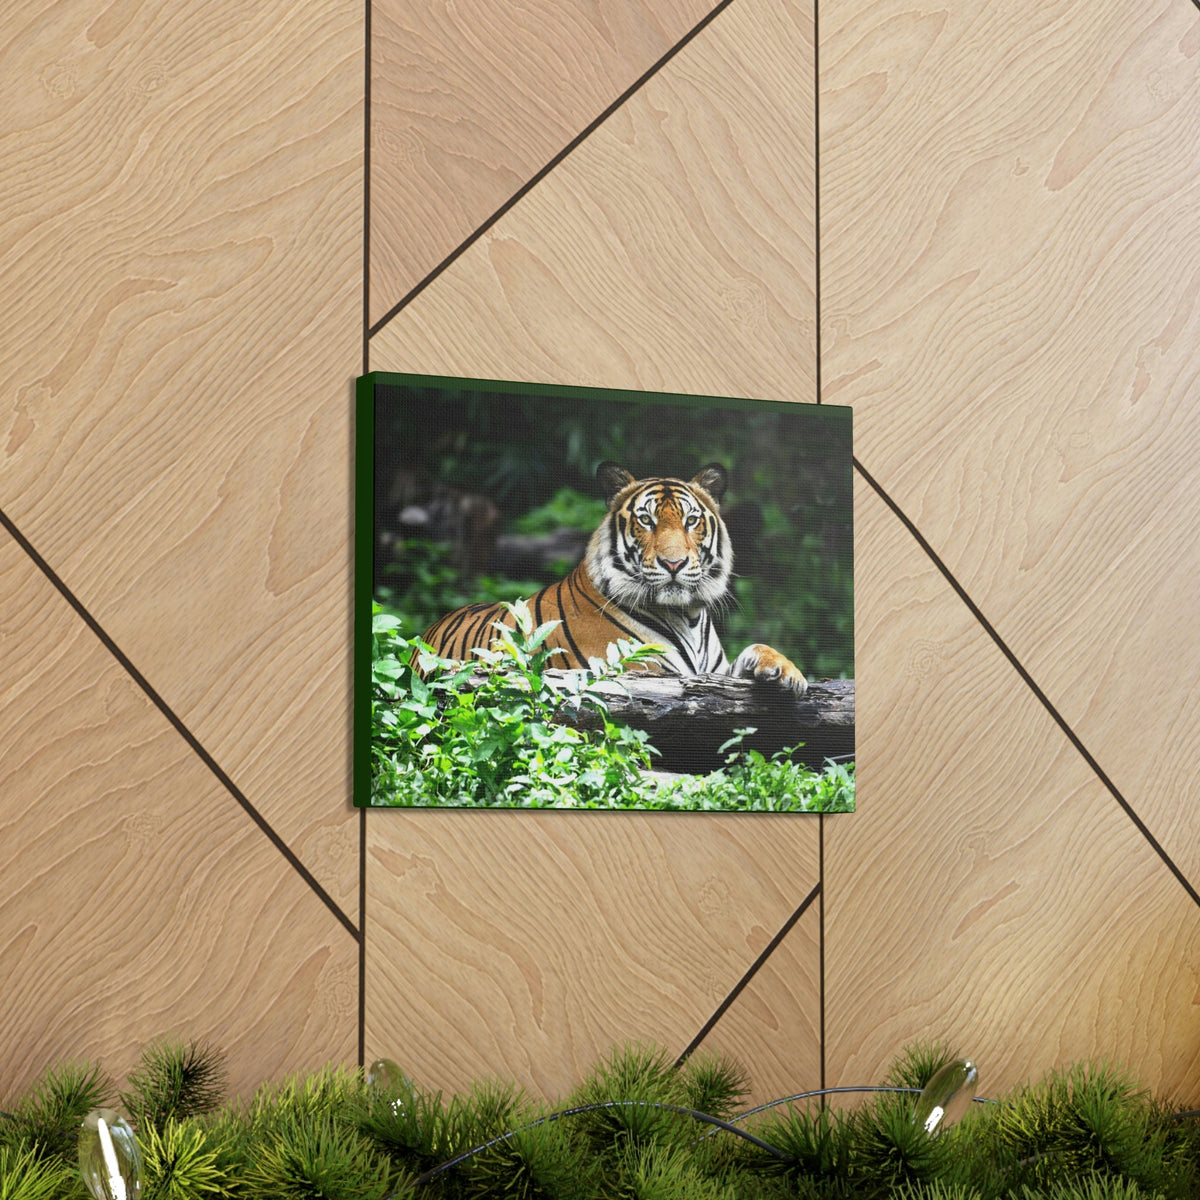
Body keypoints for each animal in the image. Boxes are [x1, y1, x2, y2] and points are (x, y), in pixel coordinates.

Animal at [419, 461, 807, 694]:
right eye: (646, 520)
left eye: (691, 521)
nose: (674, 564)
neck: (688, 615)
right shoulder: (643, 671)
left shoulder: (713, 673)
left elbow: (755, 649)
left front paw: (787, 672)